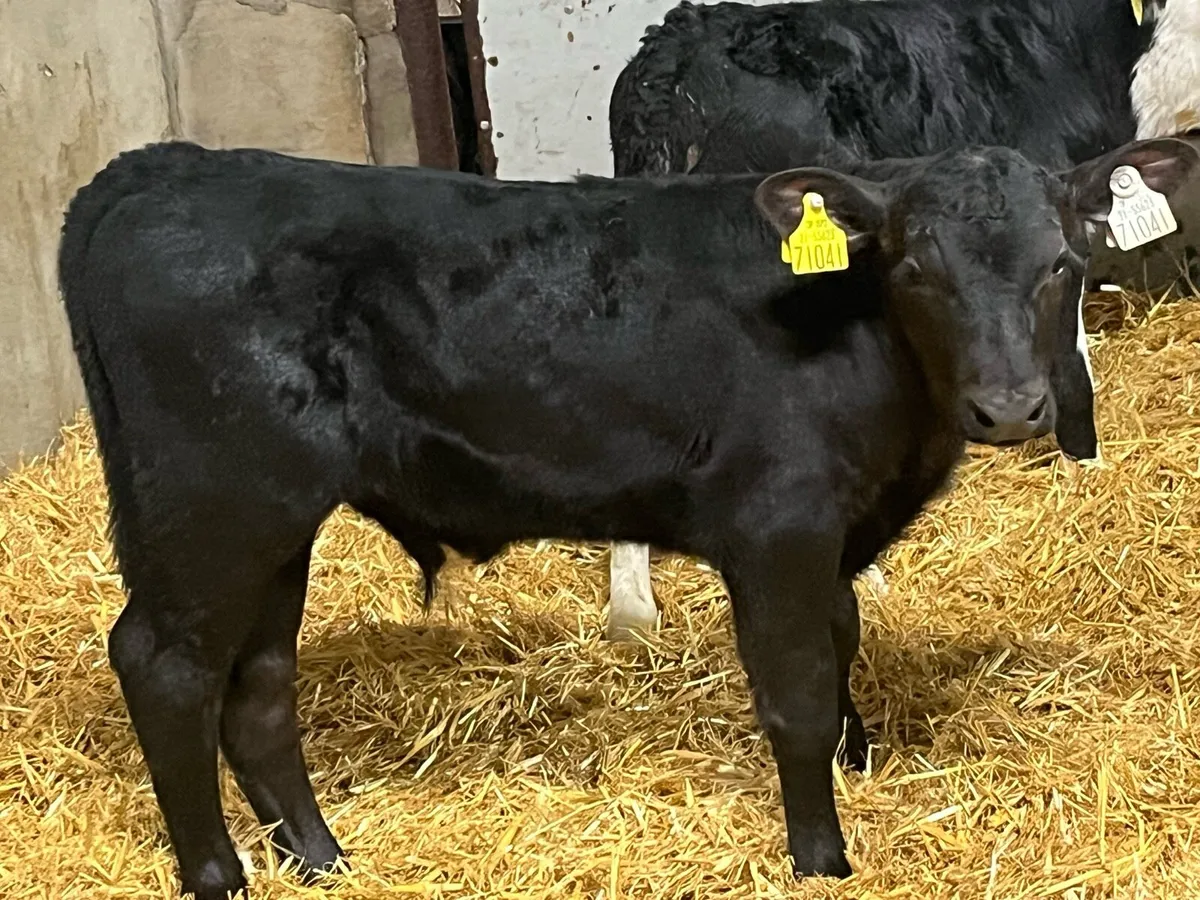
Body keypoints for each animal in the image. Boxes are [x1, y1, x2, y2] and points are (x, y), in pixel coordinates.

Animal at [59, 136, 1196, 897]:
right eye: (915, 268)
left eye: (1060, 263)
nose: (1011, 408)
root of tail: (161, 167)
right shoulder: (778, 527)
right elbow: (796, 696)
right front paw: (821, 857)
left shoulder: (832, 533)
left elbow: (842, 651)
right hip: (215, 503)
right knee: (164, 666)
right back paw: (220, 874)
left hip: (272, 524)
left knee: (257, 688)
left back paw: (323, 859)